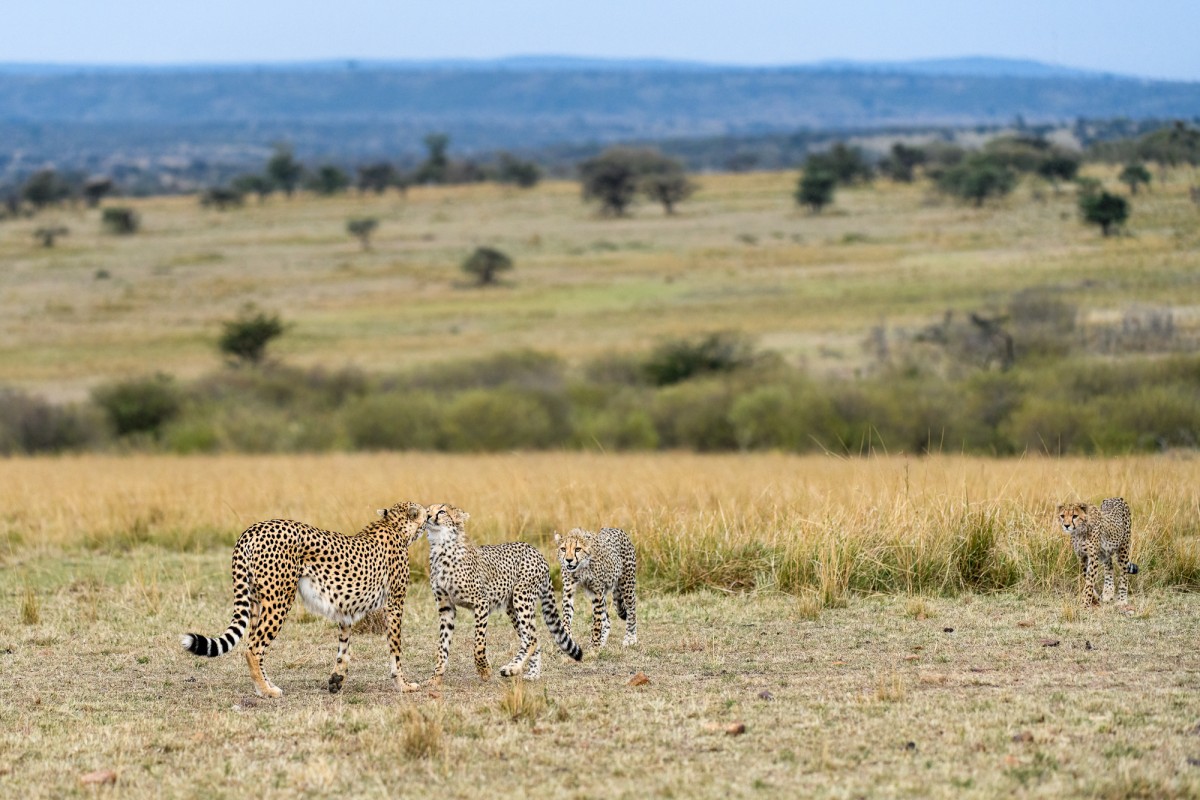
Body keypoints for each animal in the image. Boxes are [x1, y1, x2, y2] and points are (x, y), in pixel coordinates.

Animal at [182, 503, 432, 695]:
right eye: (422, 511)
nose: (430, 514)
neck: (395, 527)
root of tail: (253, 529)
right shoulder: (395, 604)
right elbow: (396, 649)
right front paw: (403, 685)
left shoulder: (345, 608)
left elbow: (344, 648)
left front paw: (337, 679)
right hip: (279, 599)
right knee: (253, 648)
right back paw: (266, 691)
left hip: (255, 600)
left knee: (253, 643)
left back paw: (267, 684)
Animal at [422, 503, 580, 686]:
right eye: (428, 510)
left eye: (441, 511)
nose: (427, 516)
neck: (440, 546)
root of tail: (535, 550)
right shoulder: (446, 607)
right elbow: (442, 646)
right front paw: (435, 677)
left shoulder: (481, 602)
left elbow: (478, 643)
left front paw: (484, 670)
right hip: (512, 607)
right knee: (532, 638)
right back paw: (530, 673)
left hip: (522, 597)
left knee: (531, 639)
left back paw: (512, 668)